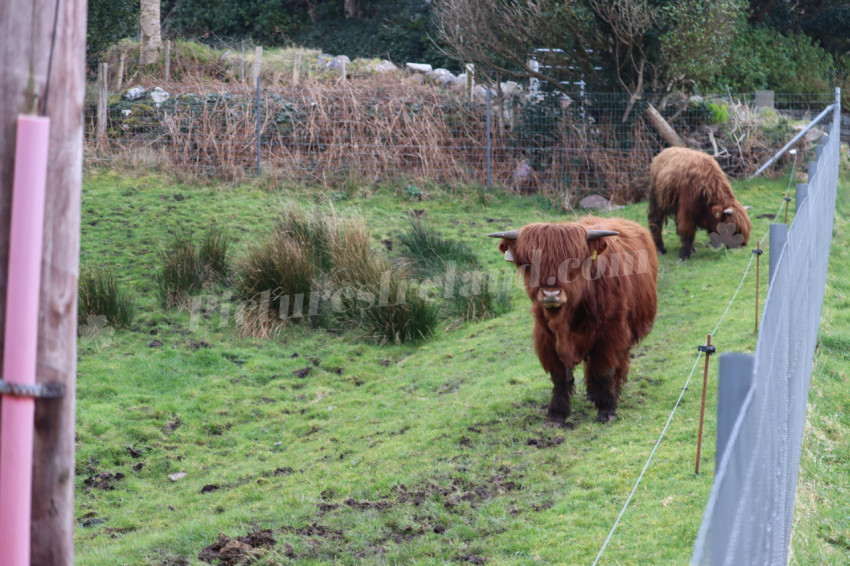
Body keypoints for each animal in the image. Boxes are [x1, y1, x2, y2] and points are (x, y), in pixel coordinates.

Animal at [489, 217, 658, 424]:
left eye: (573, 263)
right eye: (530, 263)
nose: (550, 294)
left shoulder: (611, 333)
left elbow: (604, 369)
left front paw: (606, 409)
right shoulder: (547, 337)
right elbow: (560, 376)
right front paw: (557, 414)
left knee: (618, 362)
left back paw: (613, 392)